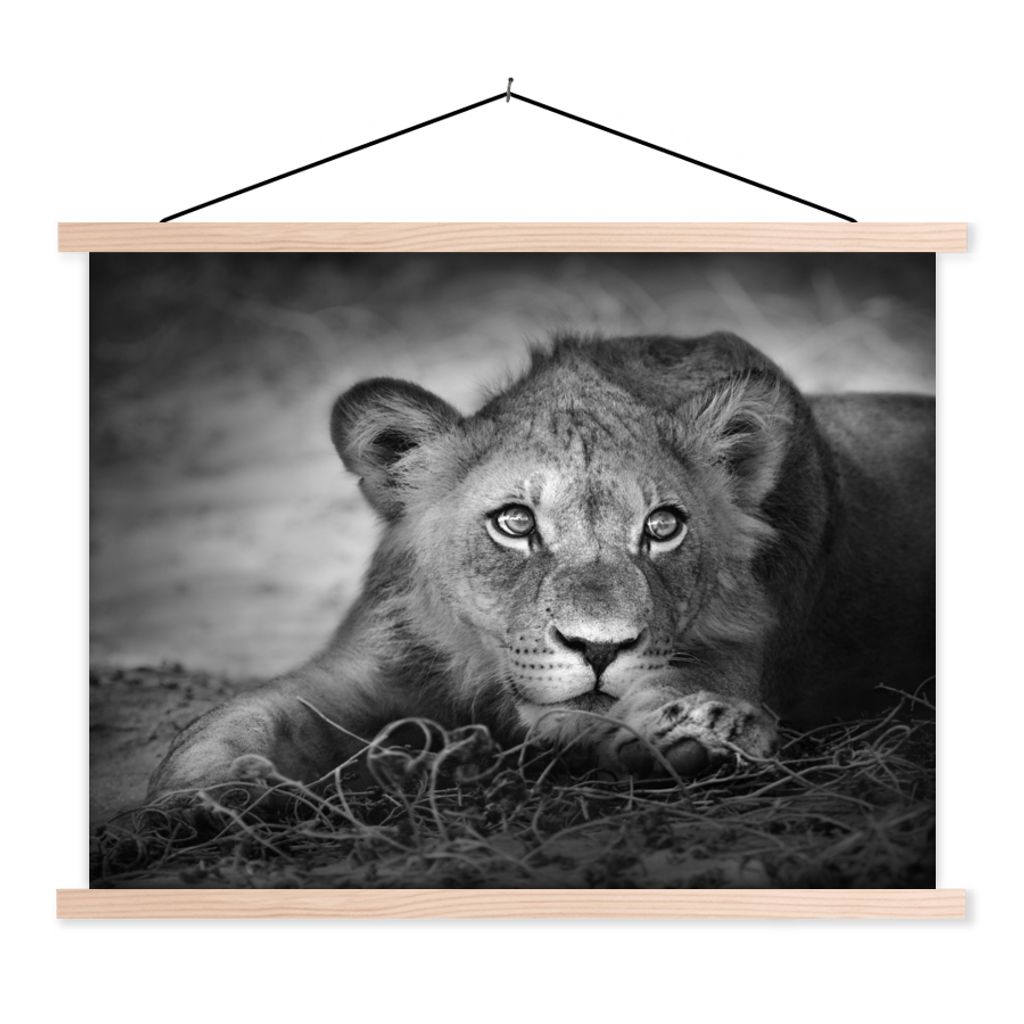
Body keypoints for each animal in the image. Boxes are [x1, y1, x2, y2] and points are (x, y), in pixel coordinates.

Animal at [148, 332, 934, 798]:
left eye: (663, 527)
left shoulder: (734, 655)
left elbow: (662, 699)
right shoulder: (367, 666)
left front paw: (701, 733)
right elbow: (236, 720)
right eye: (515, 523)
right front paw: (202, 800)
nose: (599, 647)